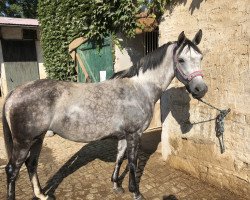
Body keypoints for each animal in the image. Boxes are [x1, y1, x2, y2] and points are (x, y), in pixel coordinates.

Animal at [2, 30, 207, 200]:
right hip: (23, 142)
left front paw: (117, 185)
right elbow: (132, 162)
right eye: (181, 60)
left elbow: (120, 158)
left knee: (31, 164)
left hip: (38, 138)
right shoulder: (134, 134)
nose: (201, 89)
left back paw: (42, 195)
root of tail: (14, 92)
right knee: (12, 170)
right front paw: (136, 192)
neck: (140, 88)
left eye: (200, 57)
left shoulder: (124, 135)